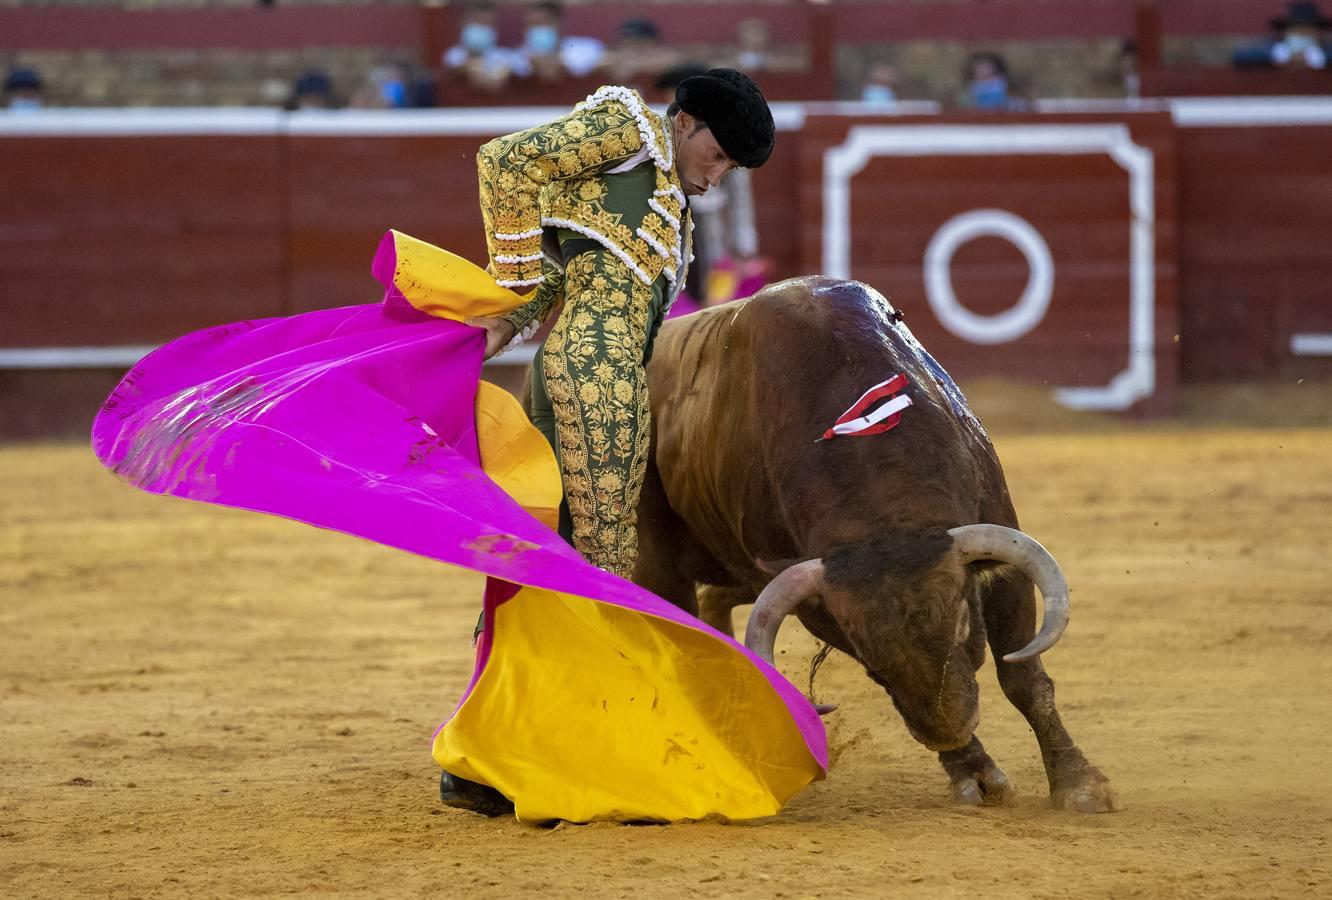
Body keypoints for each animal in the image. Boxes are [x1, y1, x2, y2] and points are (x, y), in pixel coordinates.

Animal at [628, 275, 1118, 814]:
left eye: (963, 620)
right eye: (860, 643)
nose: (947, 731)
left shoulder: (1003, 559)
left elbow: (1024, 679)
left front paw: (1078, 784)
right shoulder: (821, 605)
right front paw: (975, 773)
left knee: (716, 601)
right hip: (661, 563)